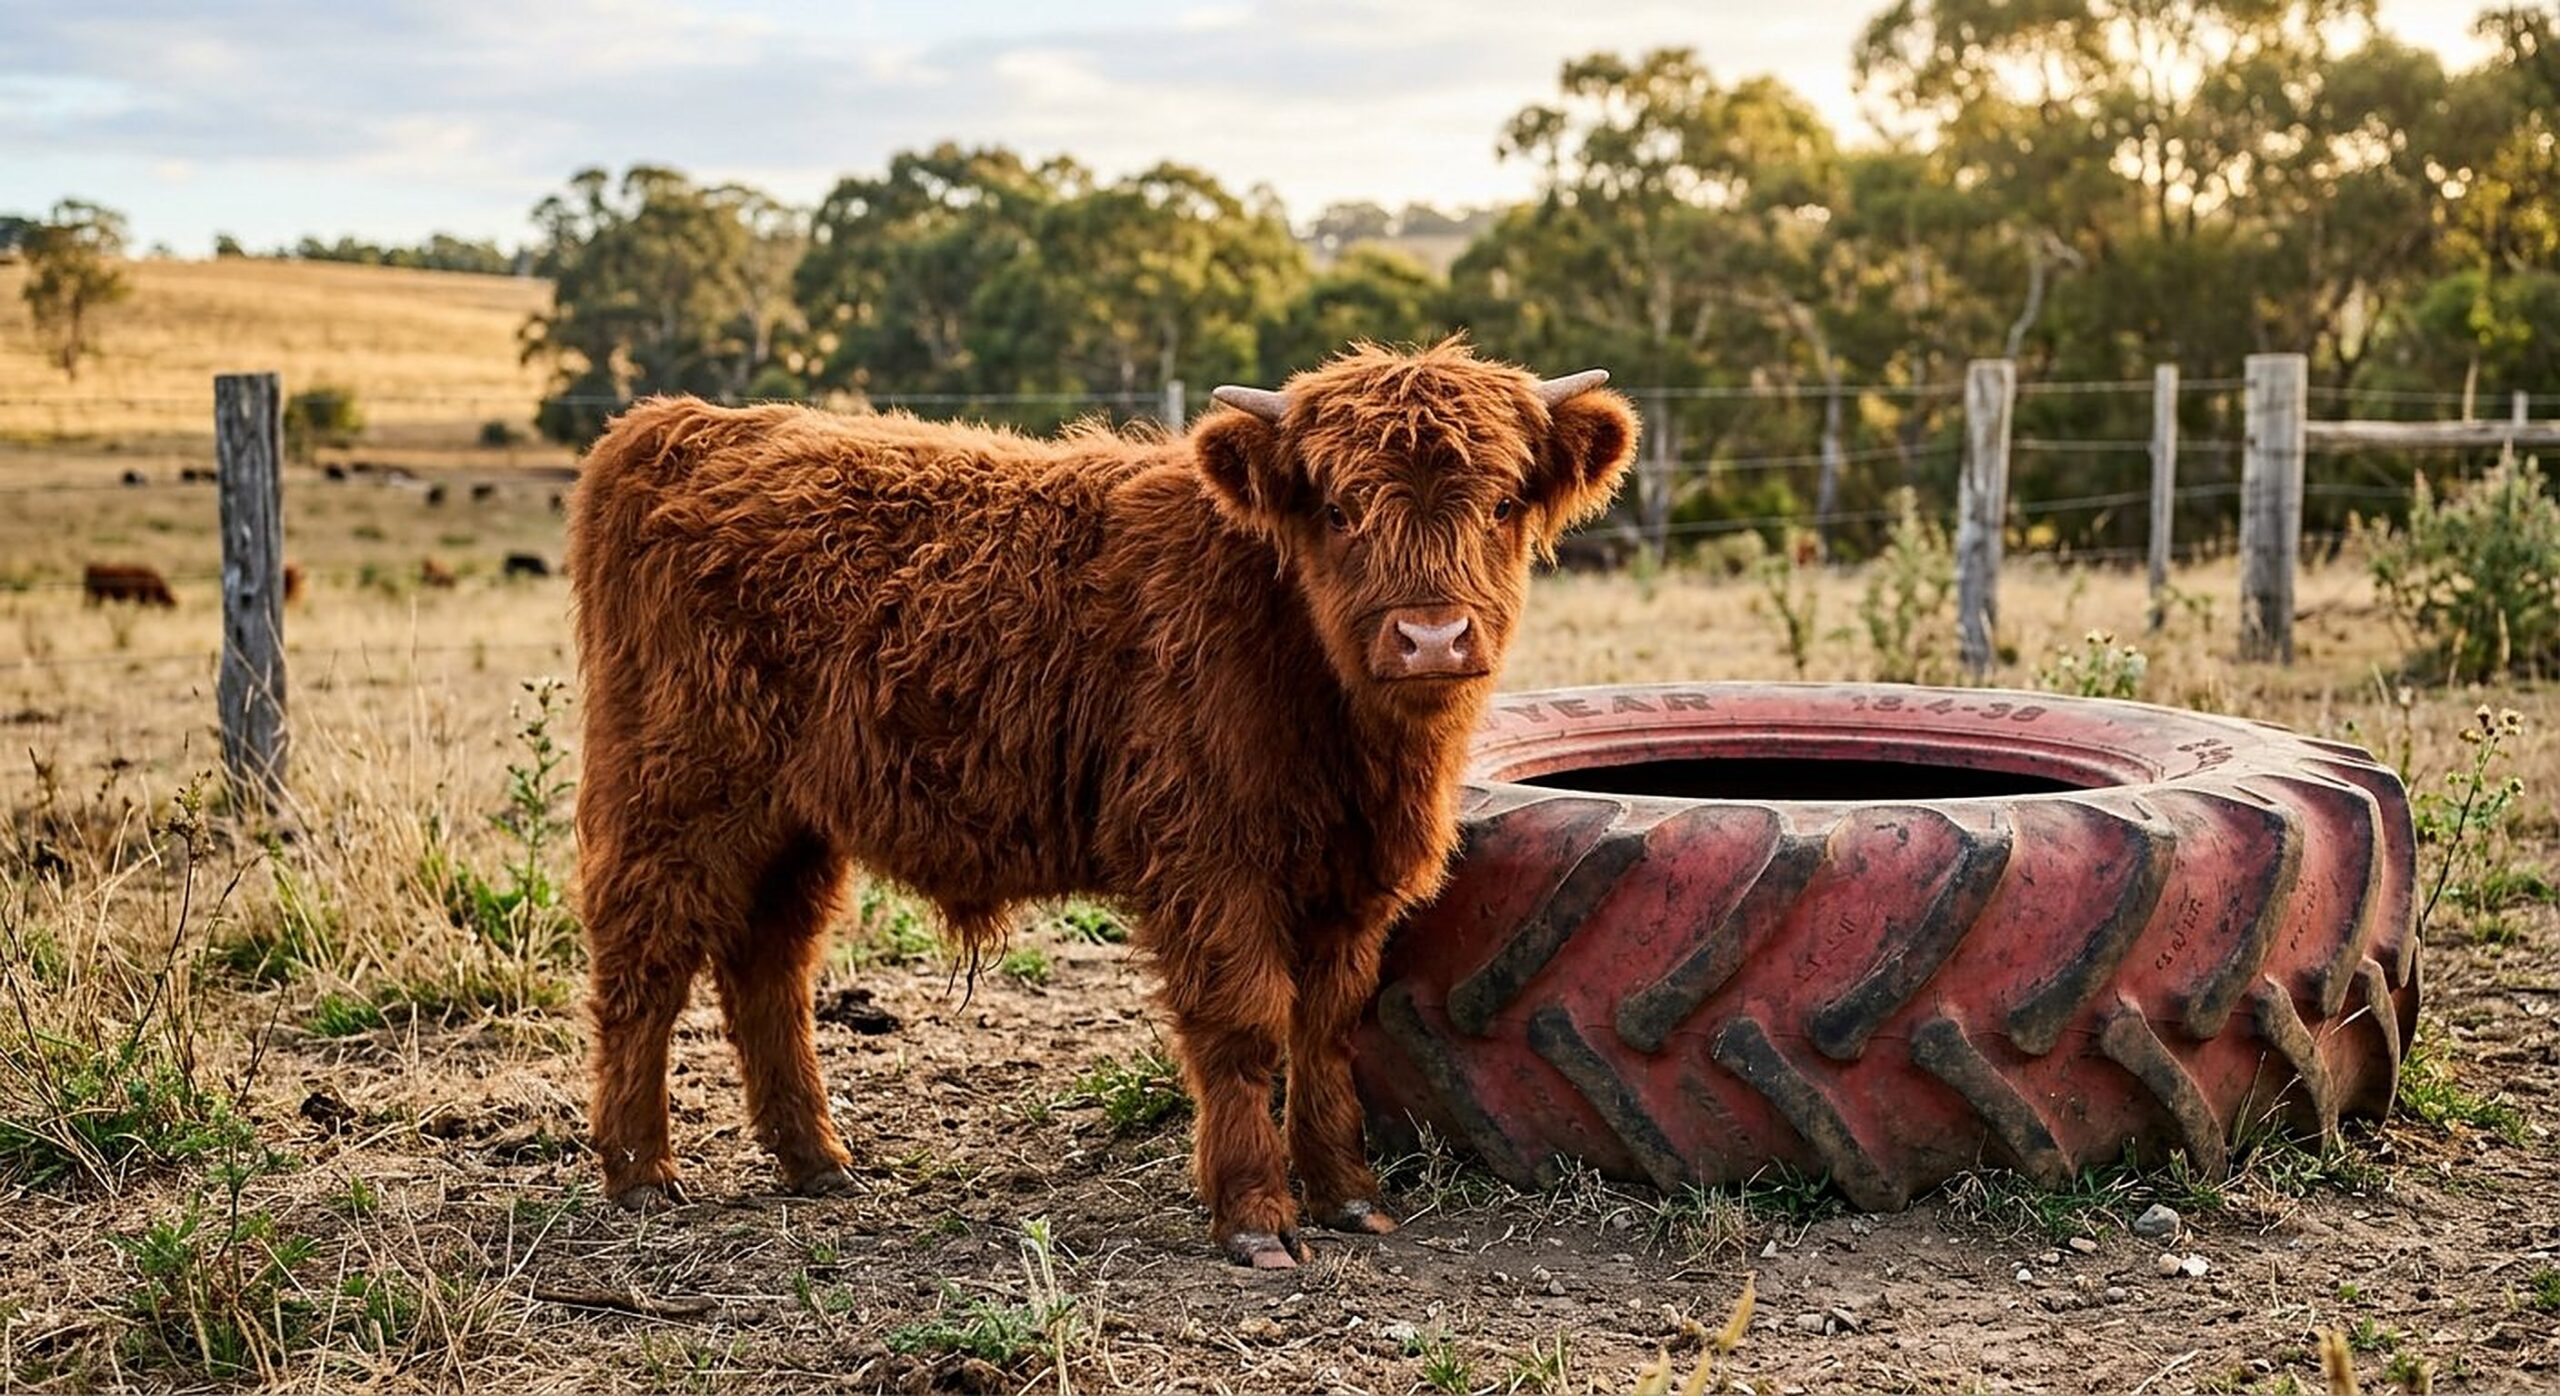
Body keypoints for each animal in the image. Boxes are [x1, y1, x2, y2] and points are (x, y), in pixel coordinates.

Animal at [568, 341, 1635, 1267]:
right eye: (1338, 509)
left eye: (1503, 502)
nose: (1431, 636)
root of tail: (684, 427)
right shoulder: (1210, 862)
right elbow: (1248, 1027)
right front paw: (1256, 1219)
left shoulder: (1351, 879)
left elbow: (1327, 1029)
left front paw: (1348, 1197)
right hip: (676, 794)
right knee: (644, 964)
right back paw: (641, 1172)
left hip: (793, 825)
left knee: (768, 969)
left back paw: (816, 1162)